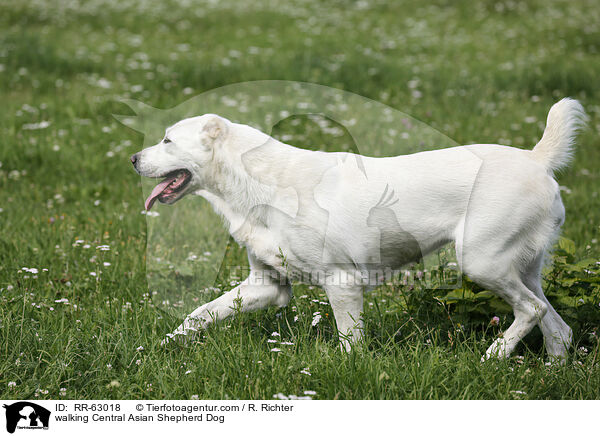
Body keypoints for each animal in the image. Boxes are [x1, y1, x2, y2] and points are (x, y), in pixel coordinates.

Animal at [131, 99, 584, 362]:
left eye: (167, 141)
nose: (133, 159)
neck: (259, 182)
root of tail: (535, 158)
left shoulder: (342, 282)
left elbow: (350, 343)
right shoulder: (266, 285)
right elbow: (198, 315)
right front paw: (158, 348)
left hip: (481, 262)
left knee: (532, 310)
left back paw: (495, 355)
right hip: (520, 269)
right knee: (557, 328)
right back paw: (551, 372)